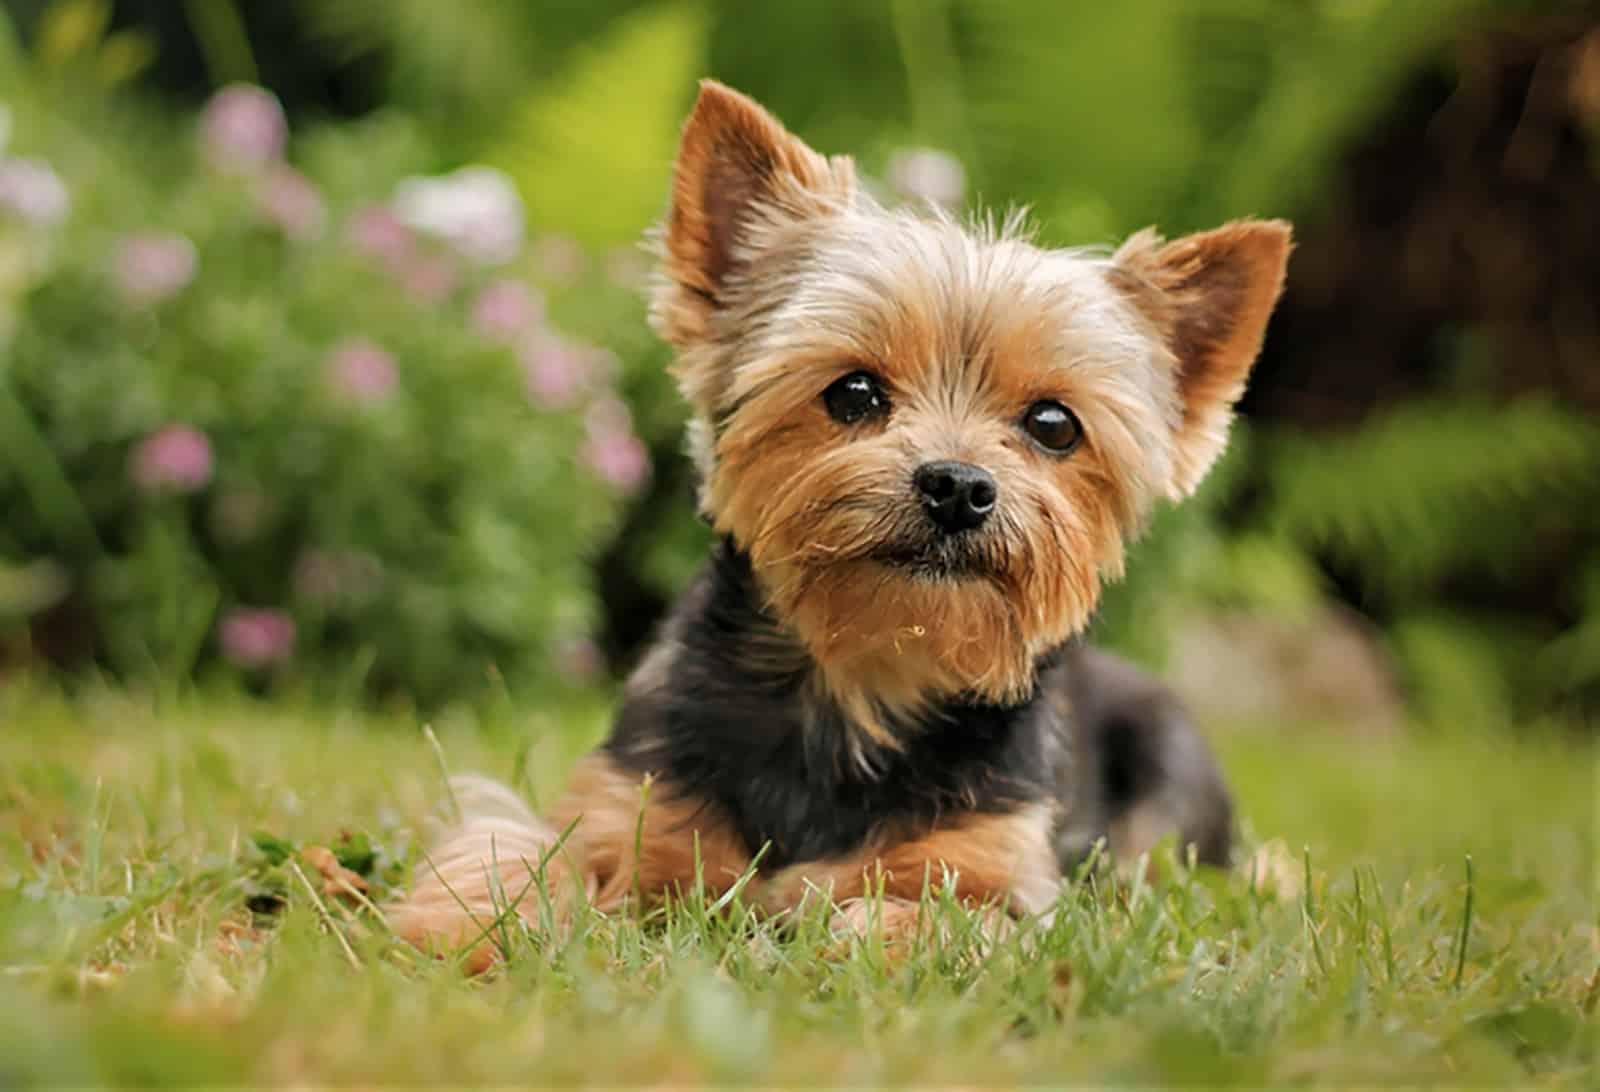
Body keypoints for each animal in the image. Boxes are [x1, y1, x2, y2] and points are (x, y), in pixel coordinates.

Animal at [390, 78, 1286, 960]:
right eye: (853, 392)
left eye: (1053, 424)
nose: (957, 486)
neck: (861, 680)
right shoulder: (628, 801)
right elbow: (520, 848)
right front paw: (467, 925)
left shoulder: (1003, 871)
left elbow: (942, 914)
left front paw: (852, 922)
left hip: (1169, 776)